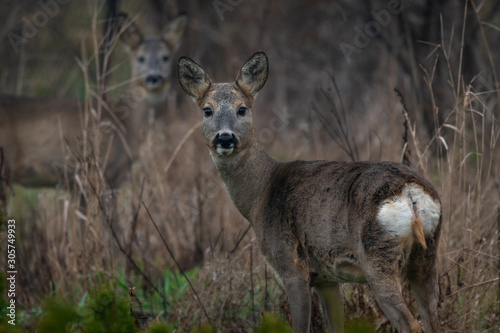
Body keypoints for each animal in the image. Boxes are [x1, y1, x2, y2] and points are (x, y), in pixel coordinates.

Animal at [179, 50, 442, 330]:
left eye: (242, 109)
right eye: (207, 110)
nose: (225, 138)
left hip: (377, 255)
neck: (260, 194)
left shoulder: (291, 266)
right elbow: (335, 326)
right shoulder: (326, 278)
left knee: (411, 324)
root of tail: (410, 193)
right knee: (432, 318)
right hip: (427, 257)